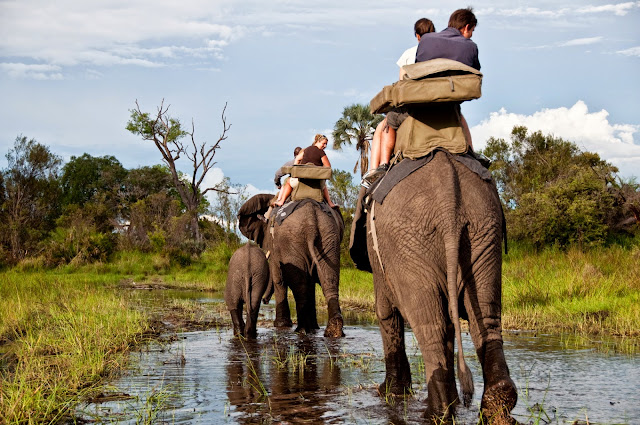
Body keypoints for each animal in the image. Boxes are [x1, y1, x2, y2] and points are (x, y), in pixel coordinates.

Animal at [238, 195, 344, 338]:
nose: (265, 300)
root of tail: (311, 222)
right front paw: (314, 327)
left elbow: (279, 279)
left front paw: (281, 325)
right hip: (328, 236)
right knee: (329, 280)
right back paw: (333, 330)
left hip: (290, 240)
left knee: (300, 285)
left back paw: (302, 329)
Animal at [358, 149, 516, 420]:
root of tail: (449, 207)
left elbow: (385, 311)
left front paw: (389, 394)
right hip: (484, 228)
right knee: (484, 317)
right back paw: (497, 401)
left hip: (407, 242)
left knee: (429, 325)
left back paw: (436, 413)